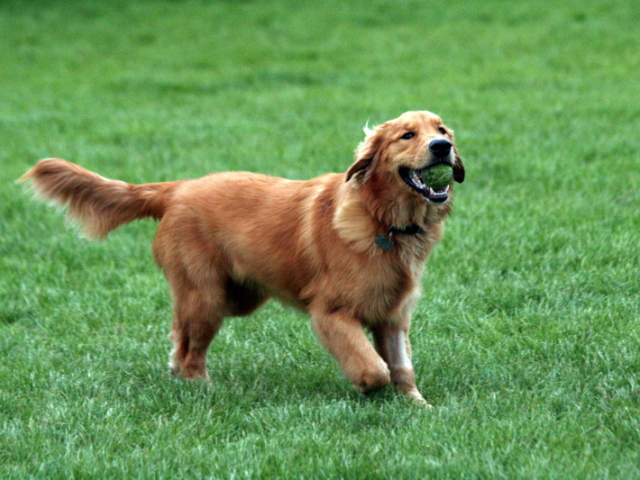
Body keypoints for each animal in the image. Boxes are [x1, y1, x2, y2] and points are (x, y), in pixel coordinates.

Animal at [21, 110, 464, 406]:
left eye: (441, 130)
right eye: (407, 135)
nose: (442, 147)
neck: (384, 221)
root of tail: (177, 188)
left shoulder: (393, 315)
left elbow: (401, 367)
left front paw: (417, 406)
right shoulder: (331, 313)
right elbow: (373, 367)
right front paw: (366, 387)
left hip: (238, 296)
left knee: (179, 334)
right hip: (208, 296)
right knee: (191, 349)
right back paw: (200, 386)